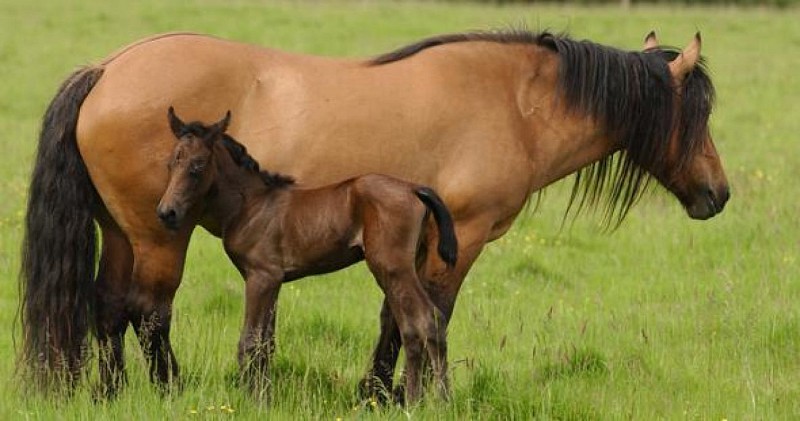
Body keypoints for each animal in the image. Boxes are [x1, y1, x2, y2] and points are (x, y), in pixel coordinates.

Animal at [156, 108, 456, 404]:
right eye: (171, 164)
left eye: (197, 167)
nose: (166, 212)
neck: (250, 205)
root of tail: (414, 188)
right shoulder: (274, 280)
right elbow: (267, 342)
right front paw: (265, 398)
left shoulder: (261, 277)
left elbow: (249, 341)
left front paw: (252, 402)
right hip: (406, 268)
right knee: (412, 326)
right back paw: (417, 400)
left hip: (392, 268)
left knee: (427, 319)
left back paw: (437, 401)